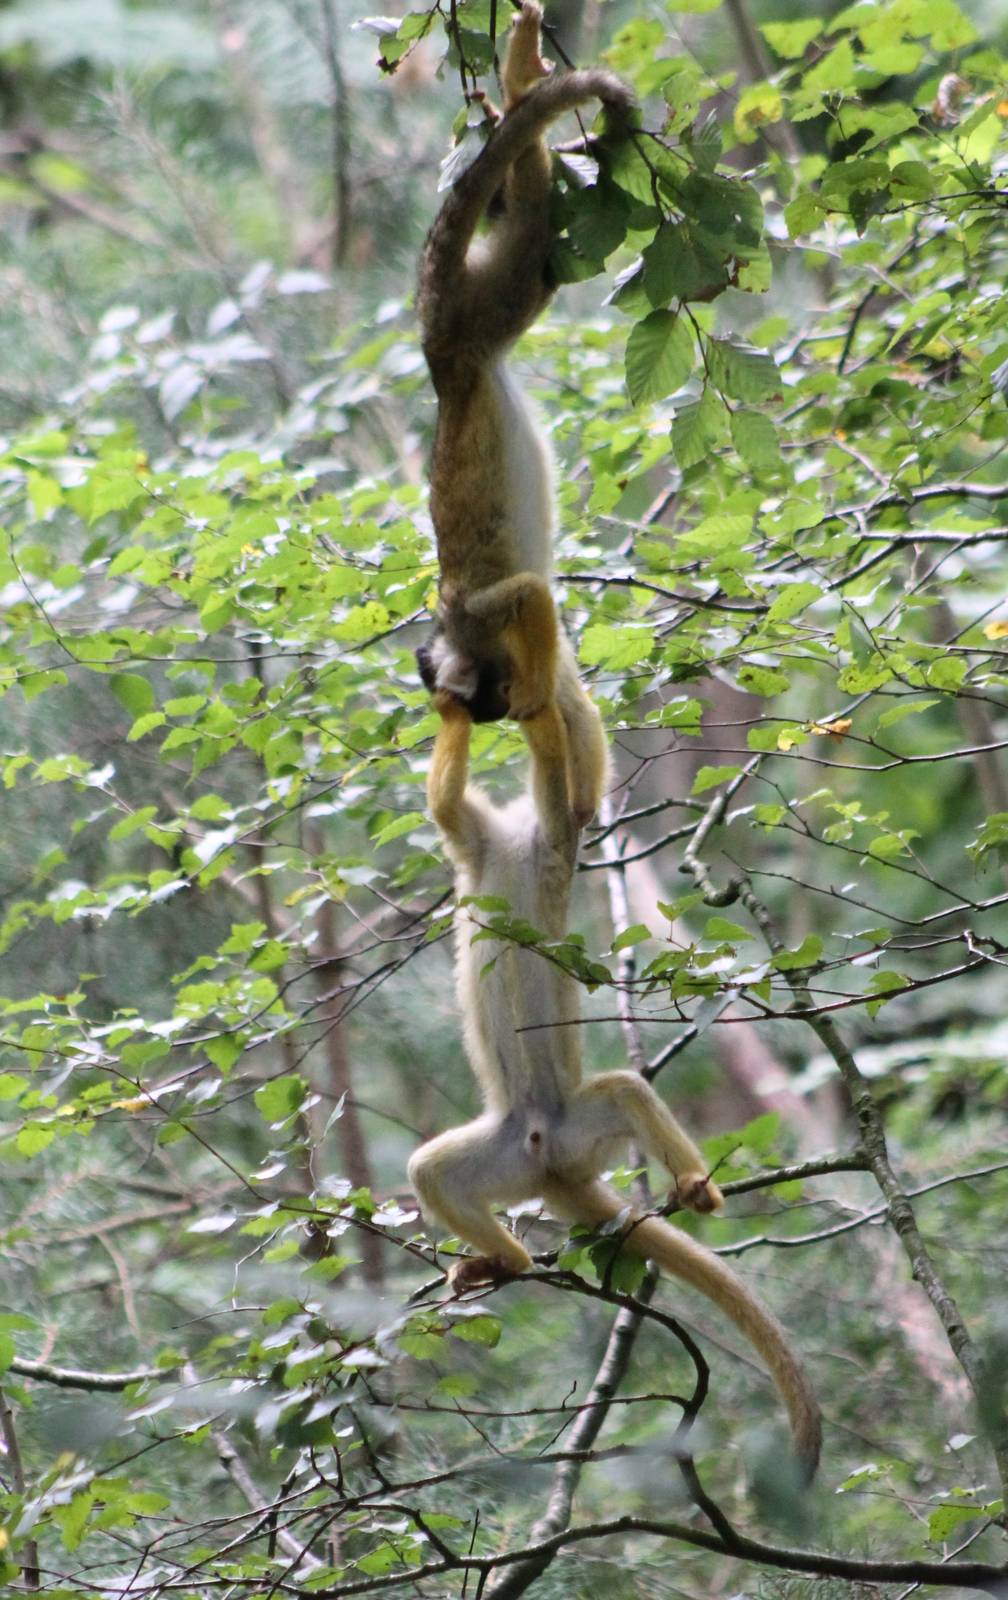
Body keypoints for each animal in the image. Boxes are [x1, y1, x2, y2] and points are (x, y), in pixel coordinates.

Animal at [408, 669, 822, 1481]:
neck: (514, 845)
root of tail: (553, 1167)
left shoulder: (553, 840)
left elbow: (573, 792)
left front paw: (542, 704)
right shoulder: (479, 842)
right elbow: (449, 806)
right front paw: (459, 706)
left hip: (574, 1131)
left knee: (621, 1093)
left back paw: (687, 1191)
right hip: (508, 1153)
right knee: (433, 1172)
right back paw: (505, 1262)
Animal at [415, 1, 633, 825]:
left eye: (489, 698)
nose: (504, 700)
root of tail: (440, 363)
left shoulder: (474, 619)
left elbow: (526, 595)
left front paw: (537, 695)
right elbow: (568, 679)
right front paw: (580, 798)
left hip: (472, 315)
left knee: (528, 232)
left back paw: (517, 86)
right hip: (489, 318)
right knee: (538, 226)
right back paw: (521, 93)